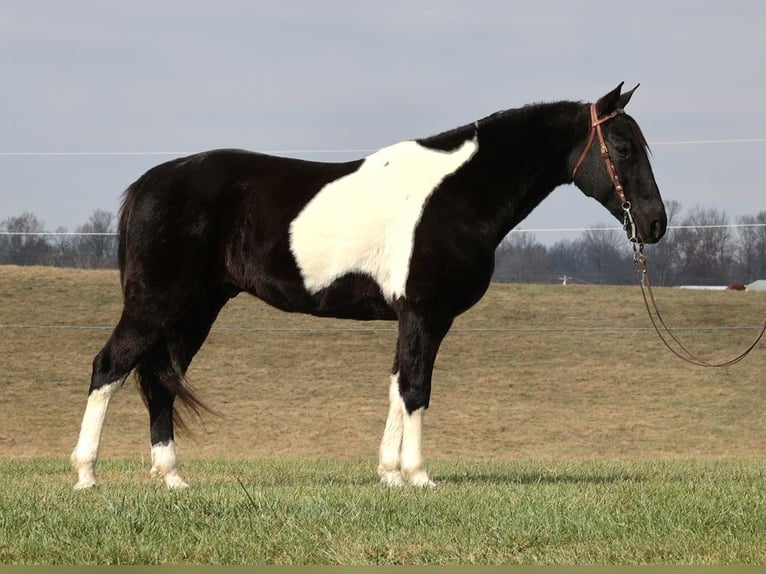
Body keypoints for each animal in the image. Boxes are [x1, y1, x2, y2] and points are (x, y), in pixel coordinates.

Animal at [75, 82, 668, 490]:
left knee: (159, 381)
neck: (456, 194)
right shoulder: (427, 312)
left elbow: (398, 385)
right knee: (109, 367)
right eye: (621, 146)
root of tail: (150, 183)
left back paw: (172, 478)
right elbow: (416, 388)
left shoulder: (413, 316)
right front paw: (419, 476)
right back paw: (87, 475)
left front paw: (389, 474)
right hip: (157, 303)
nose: (656, 224)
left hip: (196, 308)